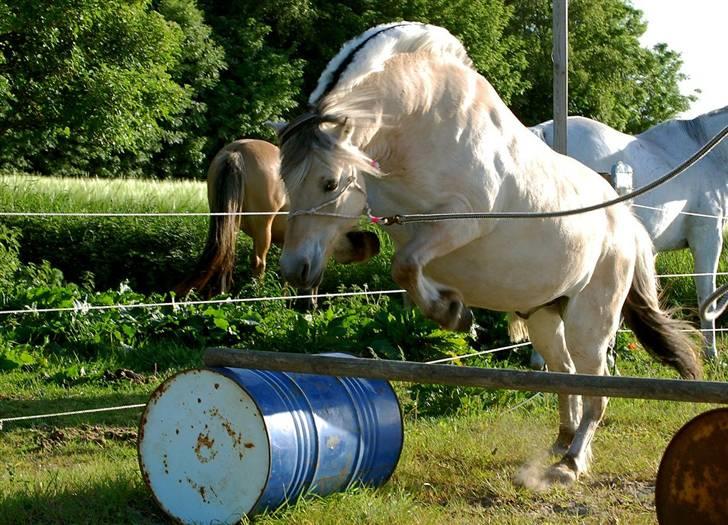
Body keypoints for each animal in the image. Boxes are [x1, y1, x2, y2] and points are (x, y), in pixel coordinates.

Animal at [274, 22, 700, 486]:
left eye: (330, 183)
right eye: (285, 181)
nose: (294, 269)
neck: (418, 126)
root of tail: (626, 223)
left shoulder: (461, 221)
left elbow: (405, 266)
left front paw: (453, 313)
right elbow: (377, 251)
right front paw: (368, 254)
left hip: (592, 320)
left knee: (596, 389)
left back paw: (570, 463)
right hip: (546, 316)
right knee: (566, 373)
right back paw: (561, 442)